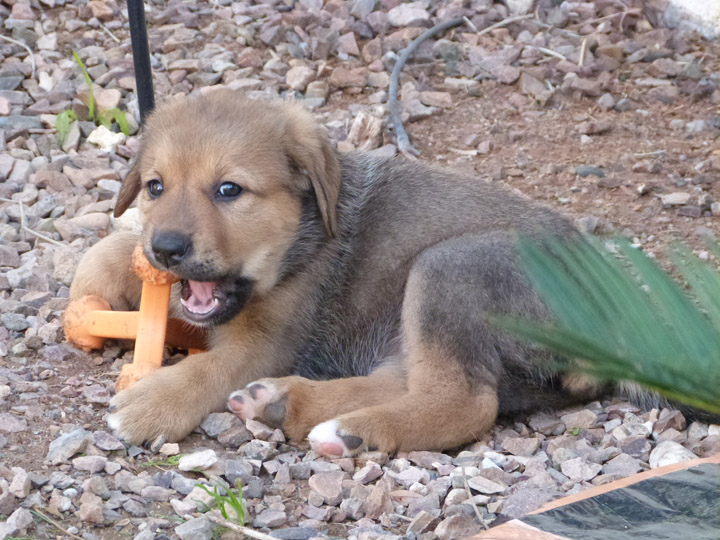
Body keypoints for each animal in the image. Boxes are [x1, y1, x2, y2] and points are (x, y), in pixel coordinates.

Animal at [71, 88, 600, 456]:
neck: (296, 249)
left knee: (466, 402)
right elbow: (113, 246)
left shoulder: (270, 343)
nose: (166, 249)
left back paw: (350, 431)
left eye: (229, 190)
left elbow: (208, 368)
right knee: (407, 382)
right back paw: (282, 402)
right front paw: (92, 286)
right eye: (155, 187)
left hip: (448, 267)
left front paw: (151, 404)